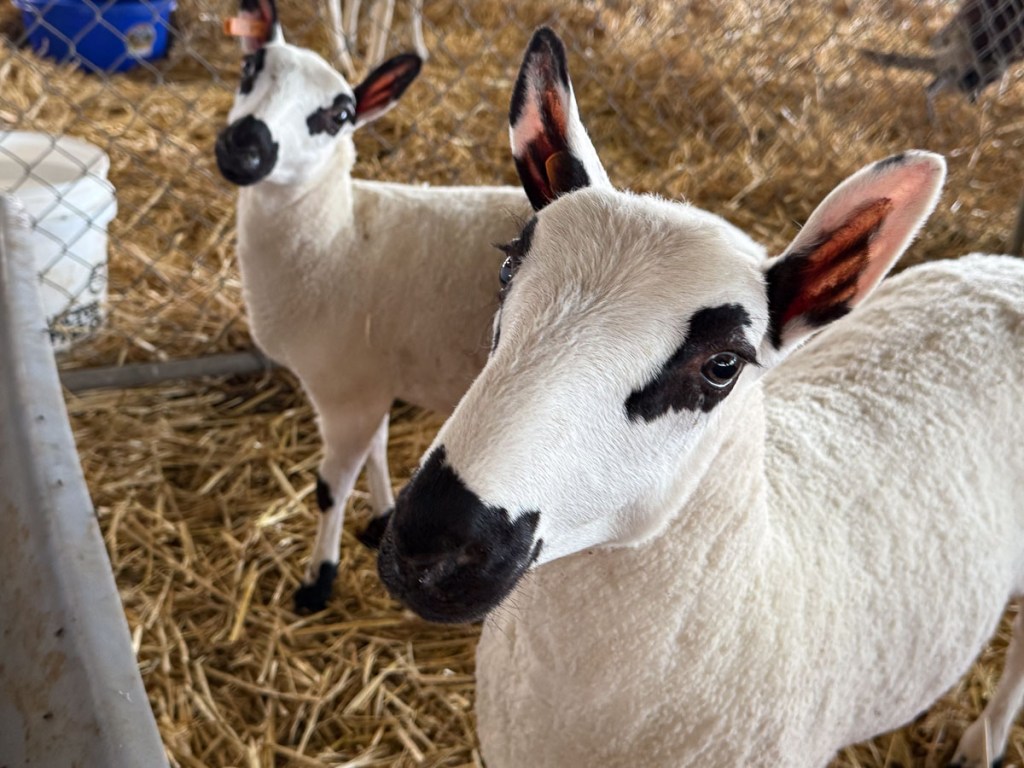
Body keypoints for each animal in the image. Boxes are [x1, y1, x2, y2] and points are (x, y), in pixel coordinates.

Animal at [215, 0, 531, 613]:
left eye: (338, 115)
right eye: (248, 69)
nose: (243, 146)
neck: (336, 240)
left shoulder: (344, 390)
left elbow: (328, 488)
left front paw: (319, 579)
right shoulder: (371, 382)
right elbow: (378, 451)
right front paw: (380, 517)